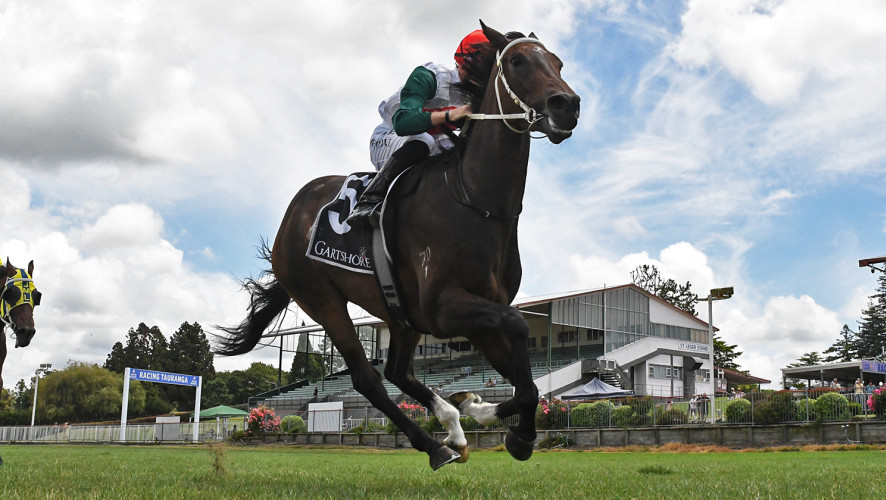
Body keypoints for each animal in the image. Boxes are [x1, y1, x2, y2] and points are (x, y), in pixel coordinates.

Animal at [212, 23, 580, 468]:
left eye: (558, 62)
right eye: (517, 60)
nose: (567, 105)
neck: (476, 201)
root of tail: (290, 219)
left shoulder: (478, 312)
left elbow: (528, 379)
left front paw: (480, 410)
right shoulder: (444, 308)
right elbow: (520, 327)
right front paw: (515, 433)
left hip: (400, 313)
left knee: (396, 372)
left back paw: (452, 425)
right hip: (322, 299)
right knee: (368, 379)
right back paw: (435, 445)